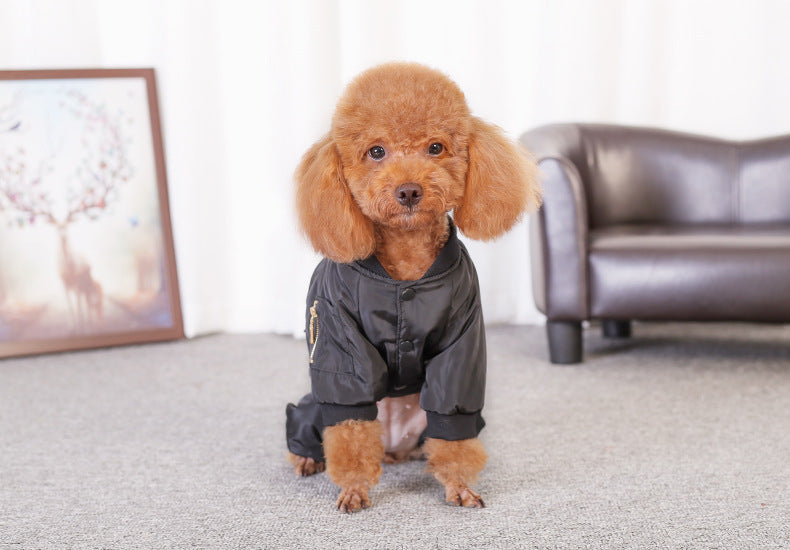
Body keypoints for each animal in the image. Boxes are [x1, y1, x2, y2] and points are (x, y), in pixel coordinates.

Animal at [288, 61, 540, 512]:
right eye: (376, 152)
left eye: (436, 148)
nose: (408, 191)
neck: (404, 270)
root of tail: (391, 444)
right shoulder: (337, 340)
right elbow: (350, 428)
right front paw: (354, 488)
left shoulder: (461, 346)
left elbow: (454, 429)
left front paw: (459, 484)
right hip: (316, 405)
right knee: (317, 427)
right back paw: (305, 459)